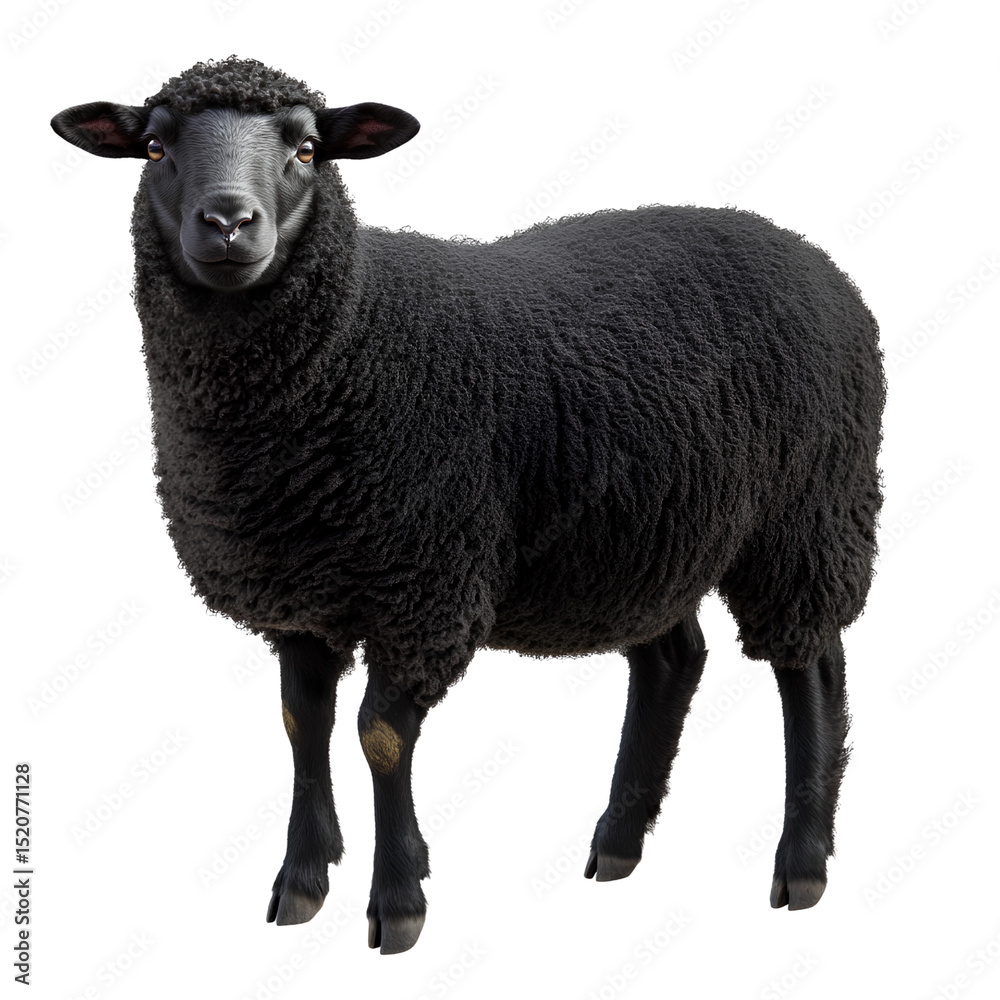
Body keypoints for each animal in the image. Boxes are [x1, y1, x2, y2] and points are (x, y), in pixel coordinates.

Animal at [51, 56, 885, 955]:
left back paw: (802, 863)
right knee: (673, 660)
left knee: (811, 665)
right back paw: (618, 845)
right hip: (649, 531)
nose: (229, 222)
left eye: (309, 148)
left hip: (806, 515)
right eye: (154, 147)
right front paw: (302, 881)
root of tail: (805, 251)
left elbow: (379, 737)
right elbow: (302, 724)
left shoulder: (421, 585)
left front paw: (397, 900)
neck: (351, 343)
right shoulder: (300, 588)